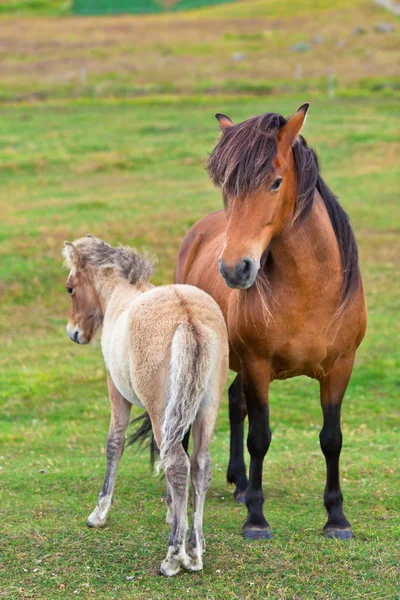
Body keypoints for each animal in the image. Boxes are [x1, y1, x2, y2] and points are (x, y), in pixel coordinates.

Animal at [177, 105, 368, 540]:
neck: (310, 292)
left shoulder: (340, 368)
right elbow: (260, 437)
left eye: (276, 182)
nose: (235, 269)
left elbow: (332, 439)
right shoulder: (258, 366)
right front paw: (256, 519)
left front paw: (336, 518)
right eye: (227, 187)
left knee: (235, 403)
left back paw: (239, 483)